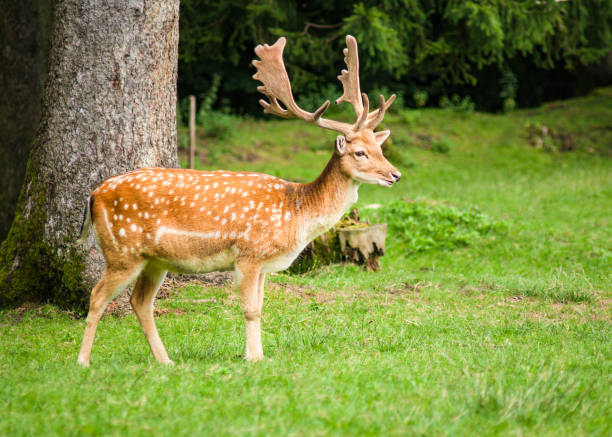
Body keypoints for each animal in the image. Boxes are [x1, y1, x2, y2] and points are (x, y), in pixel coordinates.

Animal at [76, 35, 402, 366]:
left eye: (380, 147)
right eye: (360, 152)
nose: (395, 174)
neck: (295, 212)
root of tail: (93, 194)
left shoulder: (262, 265)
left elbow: (260, 307)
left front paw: (256, 354)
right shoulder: (248, 254)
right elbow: (250, 309)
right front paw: (254, 358)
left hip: (154, 259)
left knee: (139, 302)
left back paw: (166, 361)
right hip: (122, 251)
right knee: (97, 296)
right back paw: (83, 361)